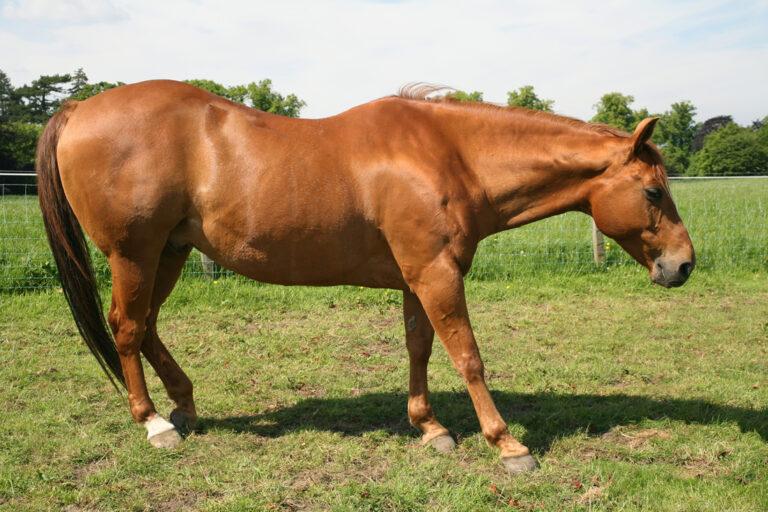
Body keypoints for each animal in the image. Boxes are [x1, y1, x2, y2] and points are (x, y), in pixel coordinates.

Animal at [36, 81, 694, 474]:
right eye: (653, 191)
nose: (683, 264)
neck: (448, 154)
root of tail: (80, 109)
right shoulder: (436, 274)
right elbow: (468, 356)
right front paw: (507, 444)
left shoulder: (418, 278)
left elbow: (420, 347)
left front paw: (430, 428)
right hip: (134, 255)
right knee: (126, 327)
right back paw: (153, 424)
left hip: (169, 253)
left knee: (146, 326)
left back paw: (185, 407)